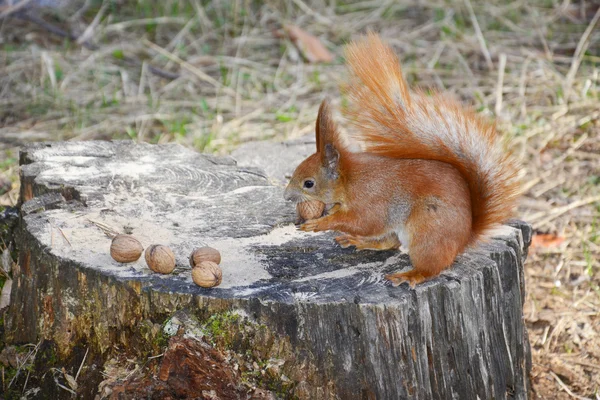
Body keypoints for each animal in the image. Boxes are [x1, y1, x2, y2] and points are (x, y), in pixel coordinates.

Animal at [282, 32, 520, 286]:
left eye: (308, 183)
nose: (286, 196)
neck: (349, 180)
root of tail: (464, 239)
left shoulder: (370, 200)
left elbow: (363, 221)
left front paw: (320, 223)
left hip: (427, 233)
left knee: (431, 267)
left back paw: (410, 275)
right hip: (400, 229)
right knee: (389, 242)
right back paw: (359, 241)